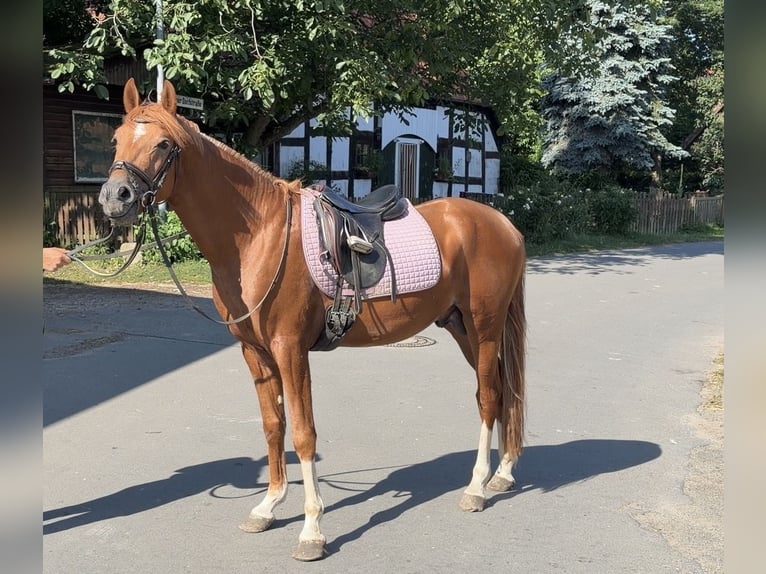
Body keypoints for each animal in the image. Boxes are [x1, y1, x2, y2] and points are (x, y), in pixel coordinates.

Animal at [98, 78, 527, 562]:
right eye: (117, 139)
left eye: (164, 143)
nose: (115, 198)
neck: (259, 237)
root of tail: (503, 224)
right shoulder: (255, 353)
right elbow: (274, 426)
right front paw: (268, 506)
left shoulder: (290, 350)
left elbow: (303, 433)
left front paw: (312, 530)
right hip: (462, 328)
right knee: (501, 391)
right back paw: (503, 473)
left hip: (485, 327)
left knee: (489, 396)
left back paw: (476, 487)